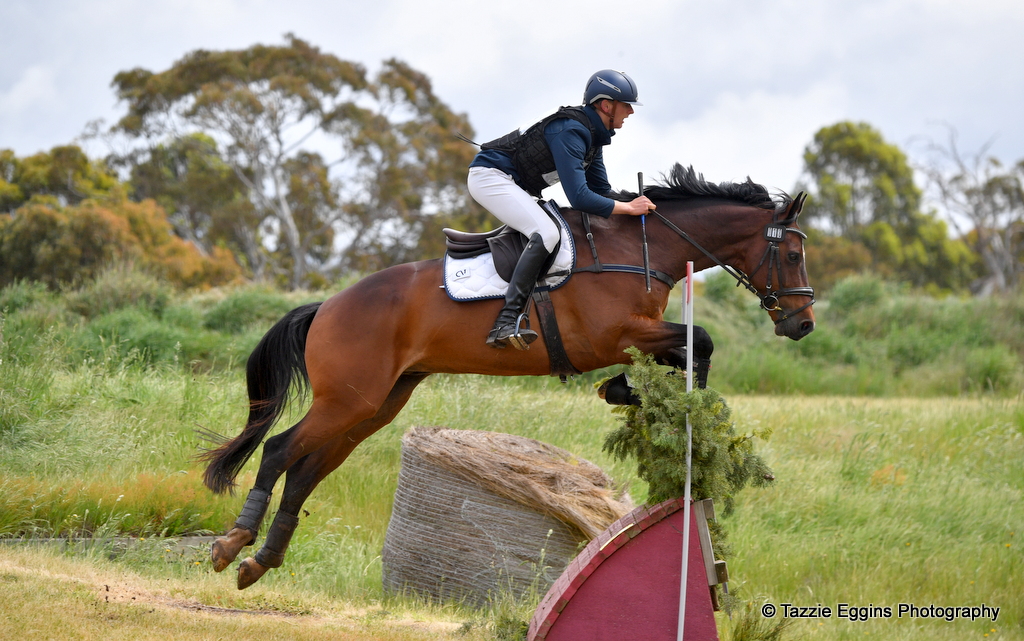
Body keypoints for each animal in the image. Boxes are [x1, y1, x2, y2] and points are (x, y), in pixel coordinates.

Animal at [200, 164, 816, 589]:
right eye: (791, 257)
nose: (803, 324)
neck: (638, 247)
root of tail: (327, 305)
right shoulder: (615, 335)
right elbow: (700, 340)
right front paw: (634, 395)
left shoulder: (639, 336)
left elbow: (693, 349)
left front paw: (640, 399)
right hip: (348, 400)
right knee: (280, 450)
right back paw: (233, 543)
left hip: (375, 404)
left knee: (307, 470)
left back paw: (261, 561)